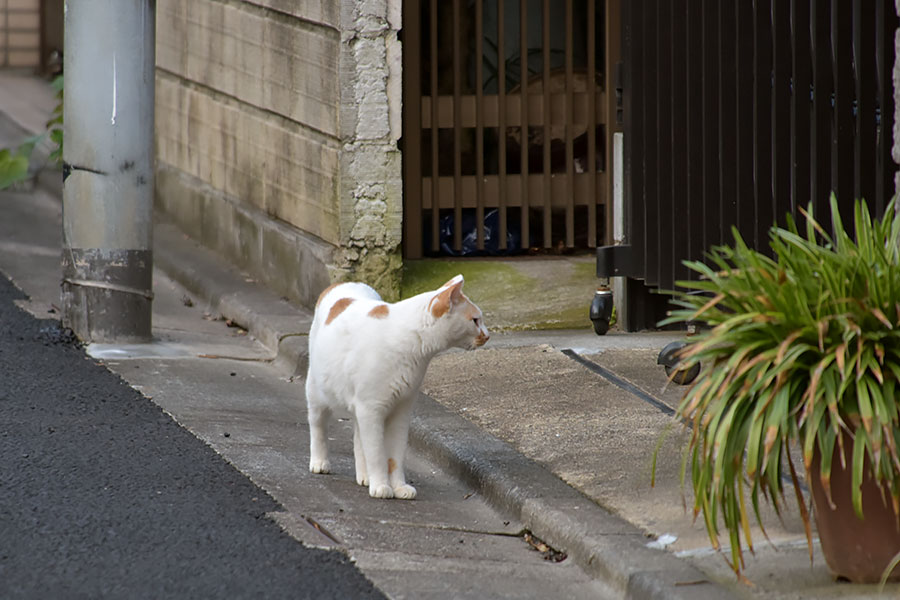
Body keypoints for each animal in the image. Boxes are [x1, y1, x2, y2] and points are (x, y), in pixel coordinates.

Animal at [306, 274, 488, 500]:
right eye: (475, 320)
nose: (487, 335)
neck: (410, 345)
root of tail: (344, 282)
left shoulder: (401, 410)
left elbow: (395, 456)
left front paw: (399, 487)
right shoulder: (372, 409)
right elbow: (377, 453)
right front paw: (381, 485)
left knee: (358, 438)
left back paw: (364, 476)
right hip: (317, 393)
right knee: (318, 428)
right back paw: (320, 462)